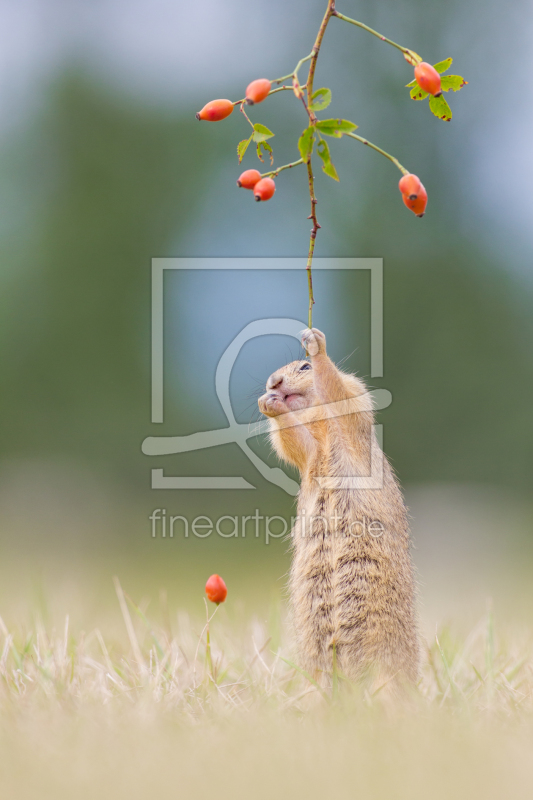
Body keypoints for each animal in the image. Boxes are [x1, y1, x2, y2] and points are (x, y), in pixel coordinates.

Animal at [258, 328, 420, 692]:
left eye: (304, 367)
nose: (273, 382)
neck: (320, 425)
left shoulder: (353, 400)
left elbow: (339, 390)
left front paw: (317, 345)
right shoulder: (310, 453)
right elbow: (294, 440)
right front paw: (269, 403)